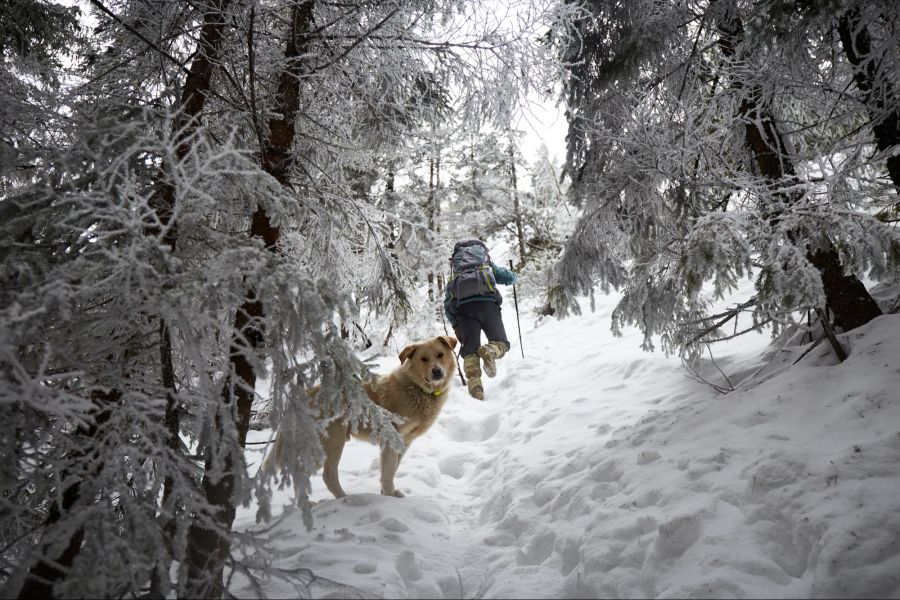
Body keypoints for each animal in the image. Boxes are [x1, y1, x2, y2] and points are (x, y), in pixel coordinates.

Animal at [264, 336, 454, 500]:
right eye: (423, 359)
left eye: (440, 354)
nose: (437, 371)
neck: (417, 388)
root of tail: (301, 397)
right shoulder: (390, 441)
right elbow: (388, 472)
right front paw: (390, 498)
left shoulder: (404, 443)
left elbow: (391, 470)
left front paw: (388, 493)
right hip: (332, 442)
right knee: (324, 475)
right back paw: (343, 500)